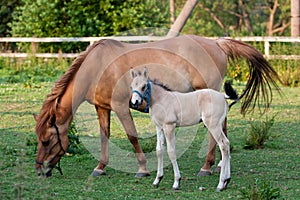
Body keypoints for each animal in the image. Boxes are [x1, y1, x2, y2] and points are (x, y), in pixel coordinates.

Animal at [34, 34, 280, 178]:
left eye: (47, 140)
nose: (39, 169)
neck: (97, 66)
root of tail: (216, 43)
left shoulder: (121, 107)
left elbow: (132, 136)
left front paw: (142, 169)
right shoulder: (102, 108)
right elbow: (105, 136)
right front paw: (100, 168)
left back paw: (207, 167)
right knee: (223, 128)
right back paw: (220, 165)